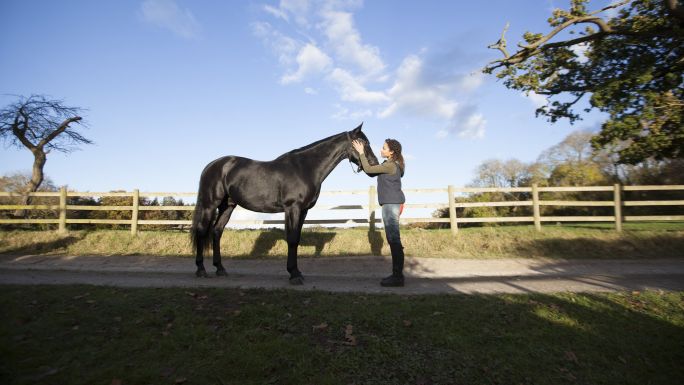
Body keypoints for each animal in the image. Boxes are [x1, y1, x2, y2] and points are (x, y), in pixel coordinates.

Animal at [190, 124, 376, 284]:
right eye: (364, 143)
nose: (374, 164)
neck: (305, 168)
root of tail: (212, 165)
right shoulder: (293, 208)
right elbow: (292, 239)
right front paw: (294, 275)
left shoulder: (303, 211)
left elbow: (297, 238)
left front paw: (297, 272)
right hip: (209, 205)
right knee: (202, 231)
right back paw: (201, 270)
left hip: (227, 206)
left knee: (216, 231)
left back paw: (220, 269)